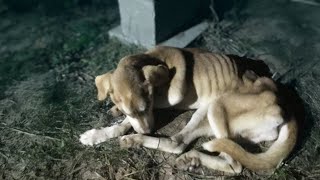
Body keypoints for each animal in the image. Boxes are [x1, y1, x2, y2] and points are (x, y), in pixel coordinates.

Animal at [79, 46, 298, 173]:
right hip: (207, 115)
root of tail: (284, 104)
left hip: (215, 106)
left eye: (147, 106)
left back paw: (139, 140)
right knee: (179, 142)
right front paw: (98, 132)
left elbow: (127, 123)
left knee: (232, 164)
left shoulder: (157, 104)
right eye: (129, 111)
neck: (154, 59)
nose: (149, 130)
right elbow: (122, 122)